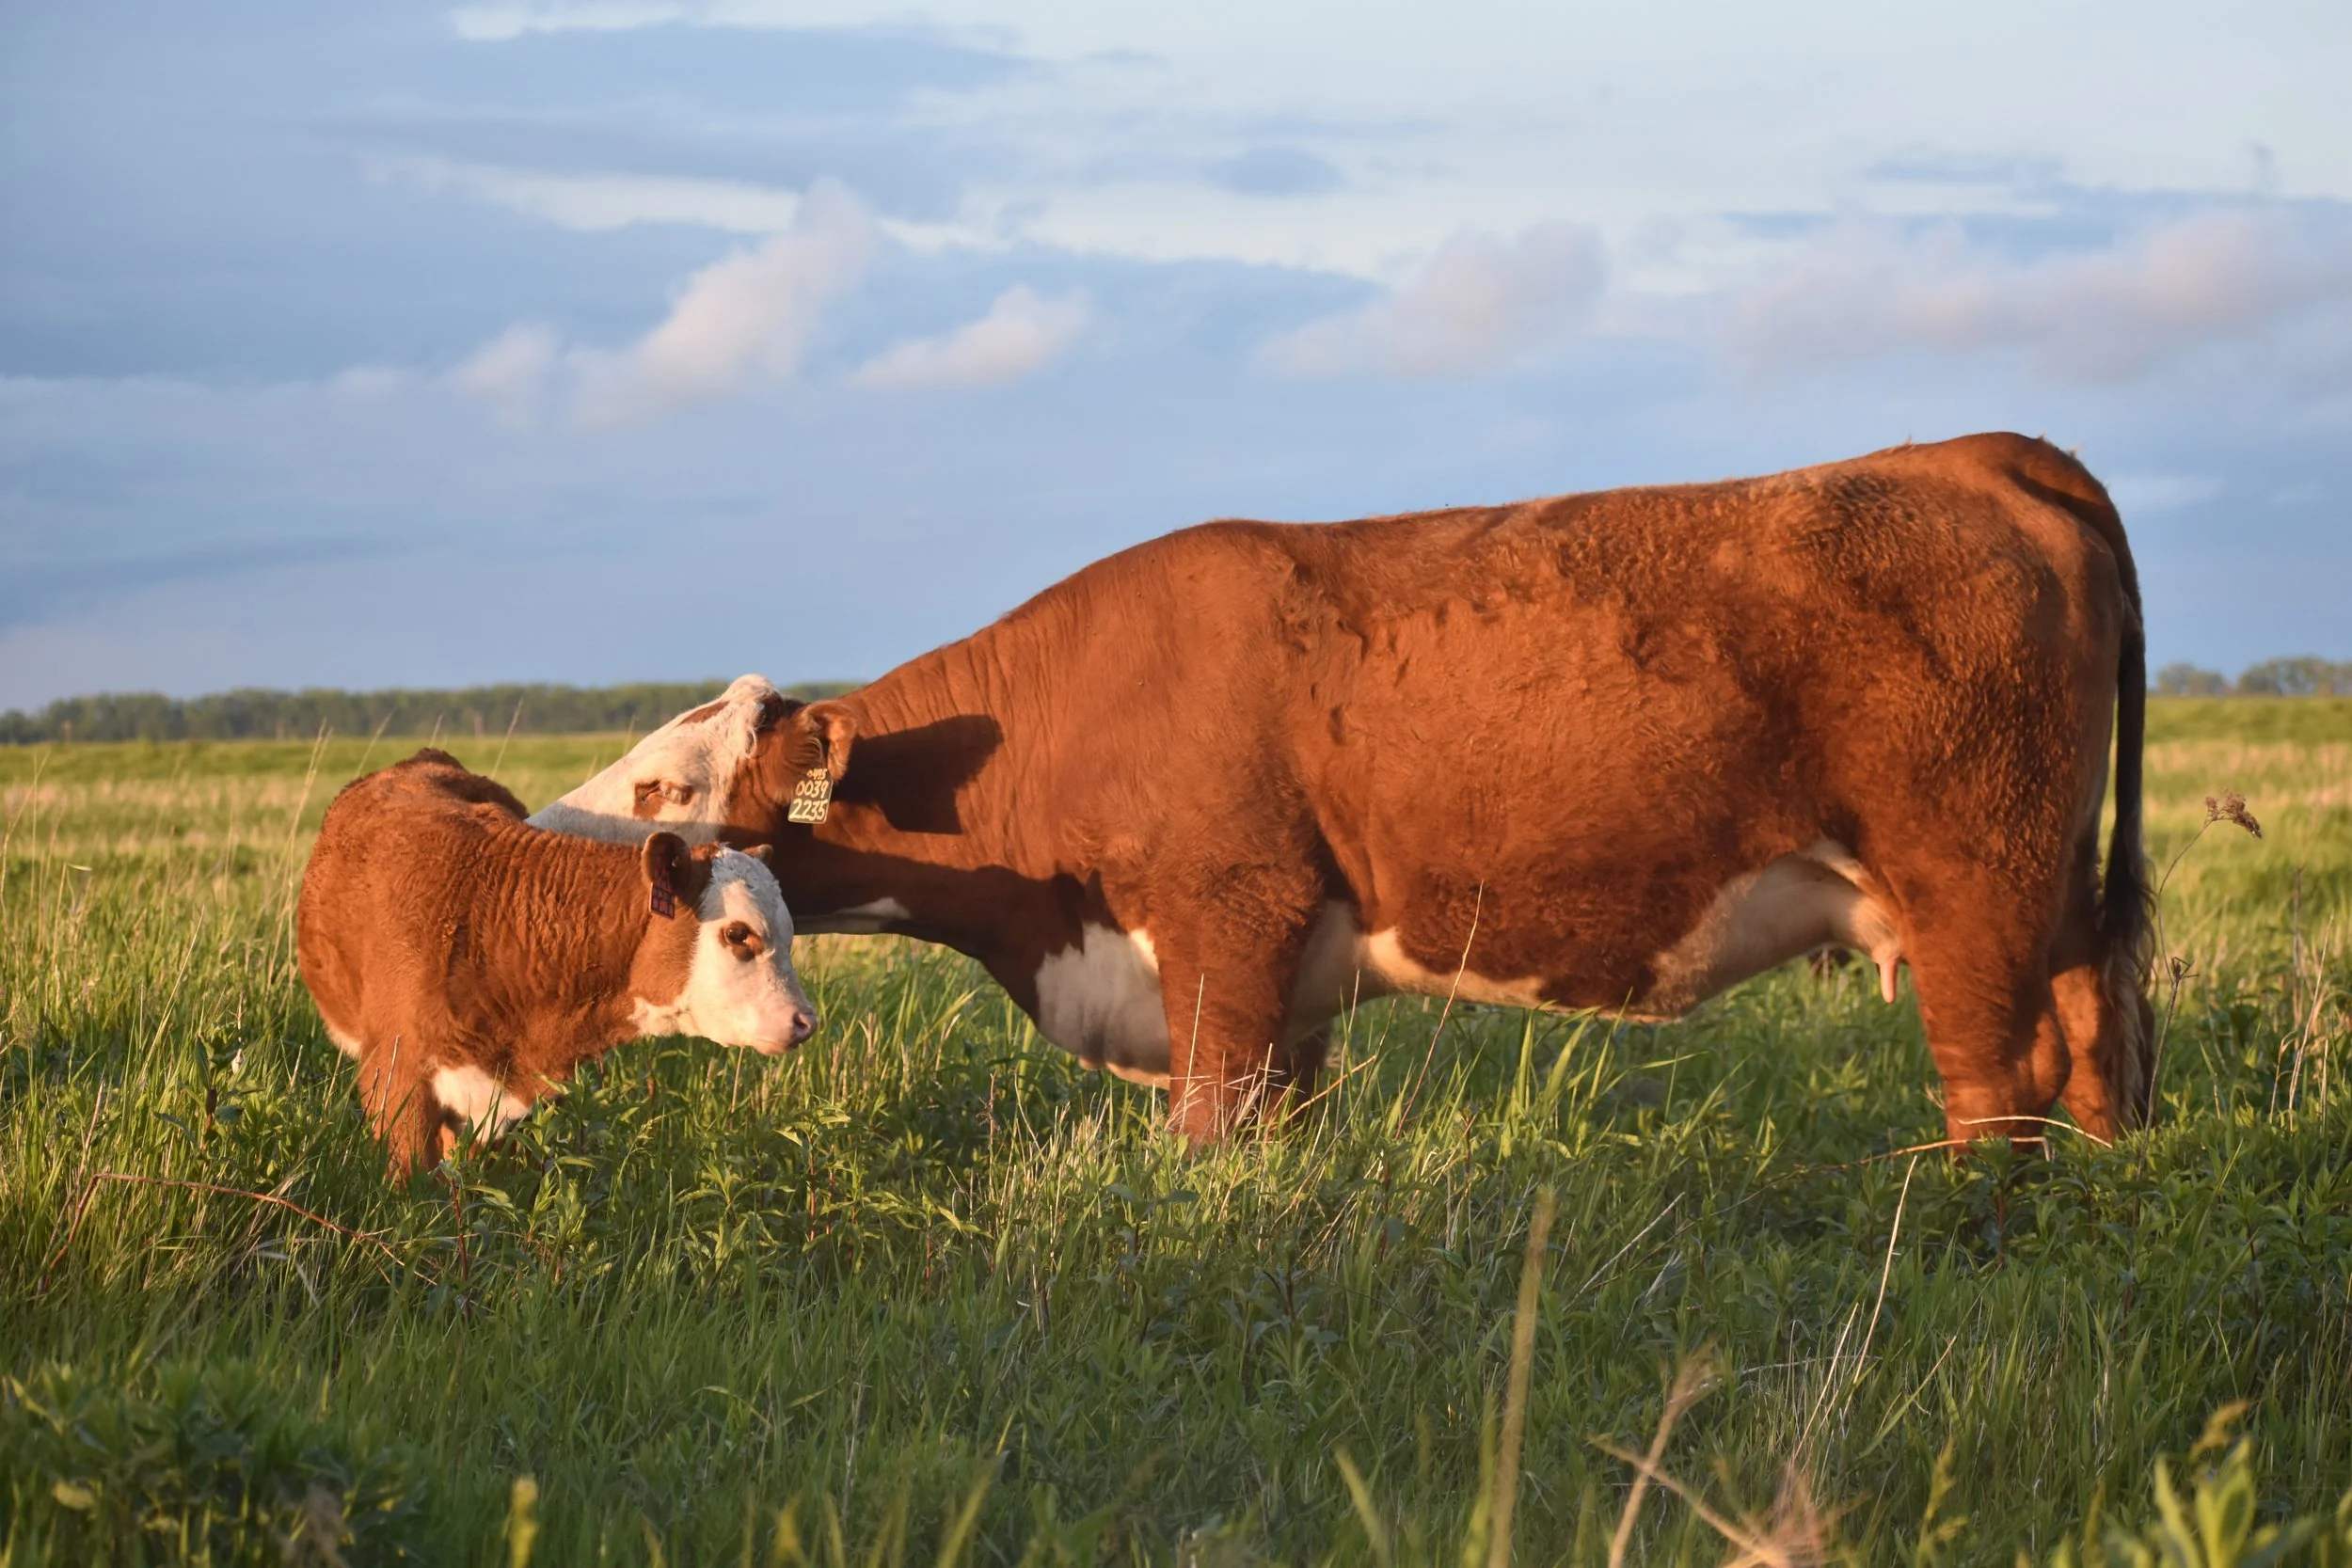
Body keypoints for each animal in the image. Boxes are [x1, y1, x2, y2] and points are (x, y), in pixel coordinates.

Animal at [541, 432, 2154, 1150]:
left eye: (665, 777)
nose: (547, 832)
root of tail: (1984, 454)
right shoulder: (1287, 987)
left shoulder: (1226, 930)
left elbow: (1205, 1135)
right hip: (2057, 886)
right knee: (2100, 1038)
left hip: (1970, 879)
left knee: (1994, 1077)